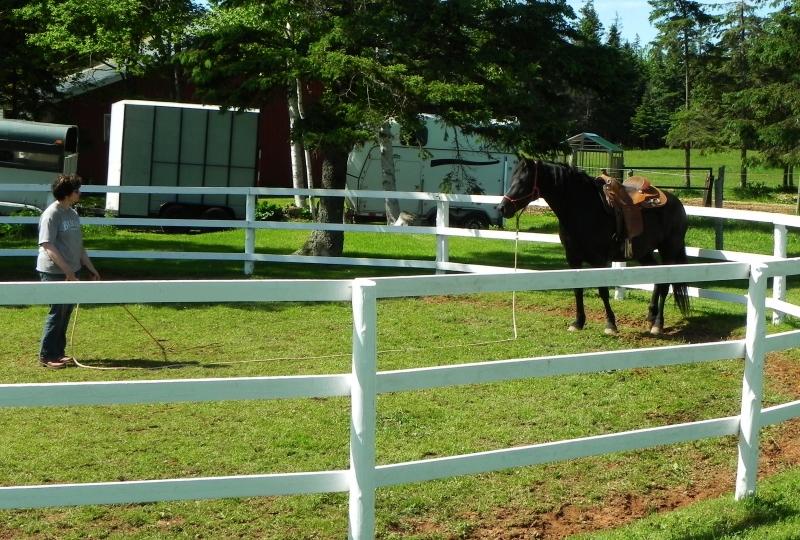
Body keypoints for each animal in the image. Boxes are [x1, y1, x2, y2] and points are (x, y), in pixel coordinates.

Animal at [494, 157, 688, 334]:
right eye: (512, 179)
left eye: (523, 181)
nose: (502, 208)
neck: (583, 209)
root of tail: (677, 203)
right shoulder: (573, 258)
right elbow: (577, 289)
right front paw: (578, 322)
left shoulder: (598, 260)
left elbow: (602, 291)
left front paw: (610, 325)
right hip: (644, 253)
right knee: (657, 280)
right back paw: (651, 317)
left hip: (668, 251)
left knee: (665, 285)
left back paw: (658, 324)